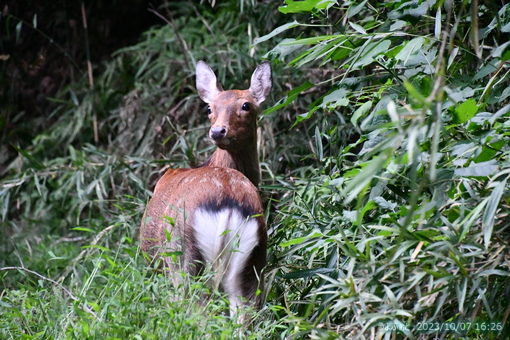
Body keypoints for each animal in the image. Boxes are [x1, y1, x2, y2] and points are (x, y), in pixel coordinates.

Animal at [140, 60, 270, 318]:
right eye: (209, 108)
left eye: (246, 105)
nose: (218, 131)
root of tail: (228, 205)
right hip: (254, 259)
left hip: (182, 256)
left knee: (196, 310)